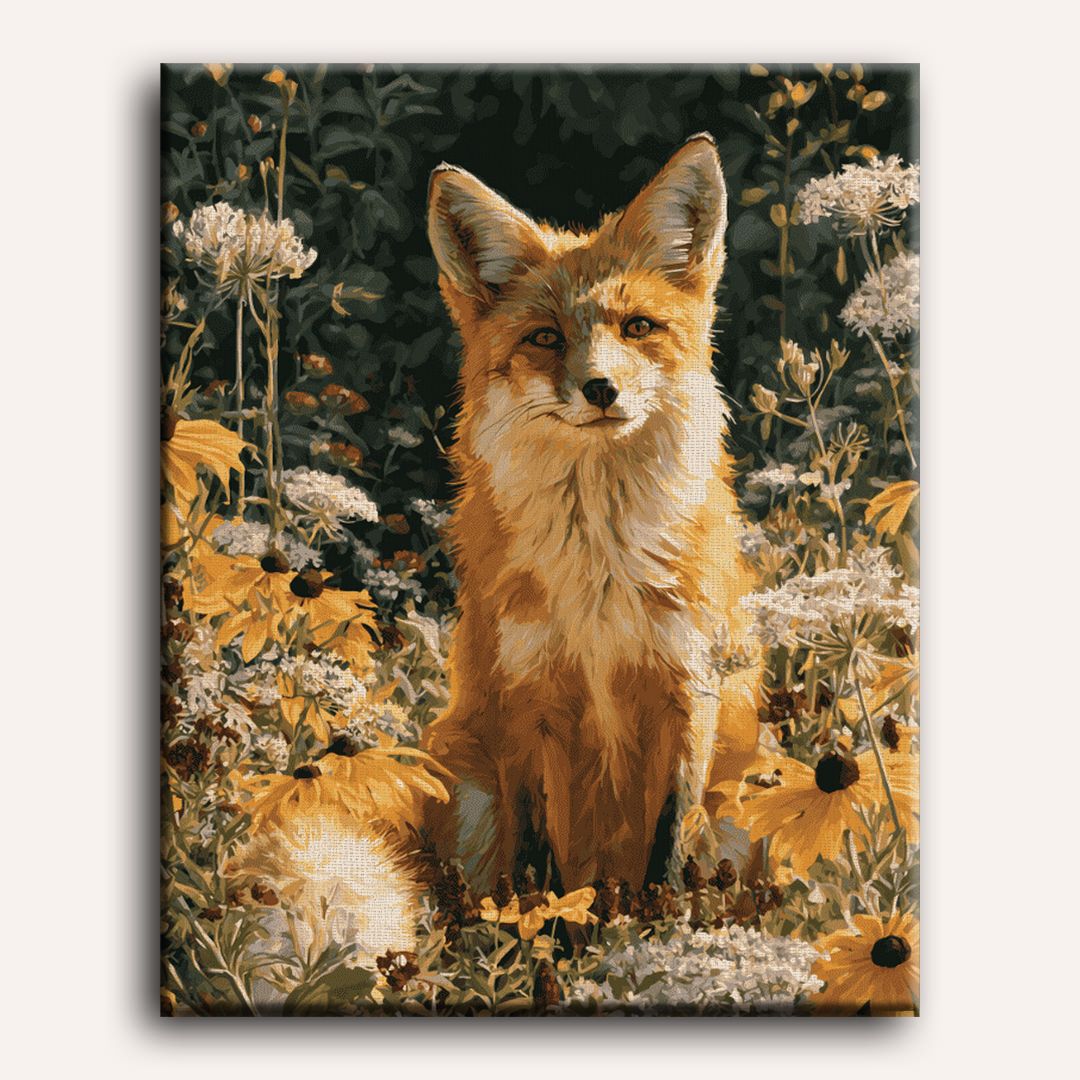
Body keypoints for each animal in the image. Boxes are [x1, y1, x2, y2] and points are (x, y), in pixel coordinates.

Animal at [423, 134, 764, 894]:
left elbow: (669, 846)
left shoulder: (687, 688)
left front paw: (663, 926)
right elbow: (536, 856)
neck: (599, 566)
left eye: (638, 327)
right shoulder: (527, 697)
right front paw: (540, 924)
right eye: (546, 338)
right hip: (463, 779)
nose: (601, 388)